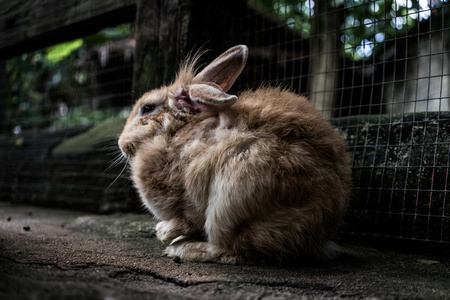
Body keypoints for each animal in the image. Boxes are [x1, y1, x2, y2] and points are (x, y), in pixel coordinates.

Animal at [118, 44, 352, 262]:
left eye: (147, 108)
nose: (120, 144)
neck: (176, 133)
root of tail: (318, 236)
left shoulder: (191, 192)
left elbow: (188, 218)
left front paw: (164, 233)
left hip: (231, 199)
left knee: (234, 249)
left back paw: (183, 249)